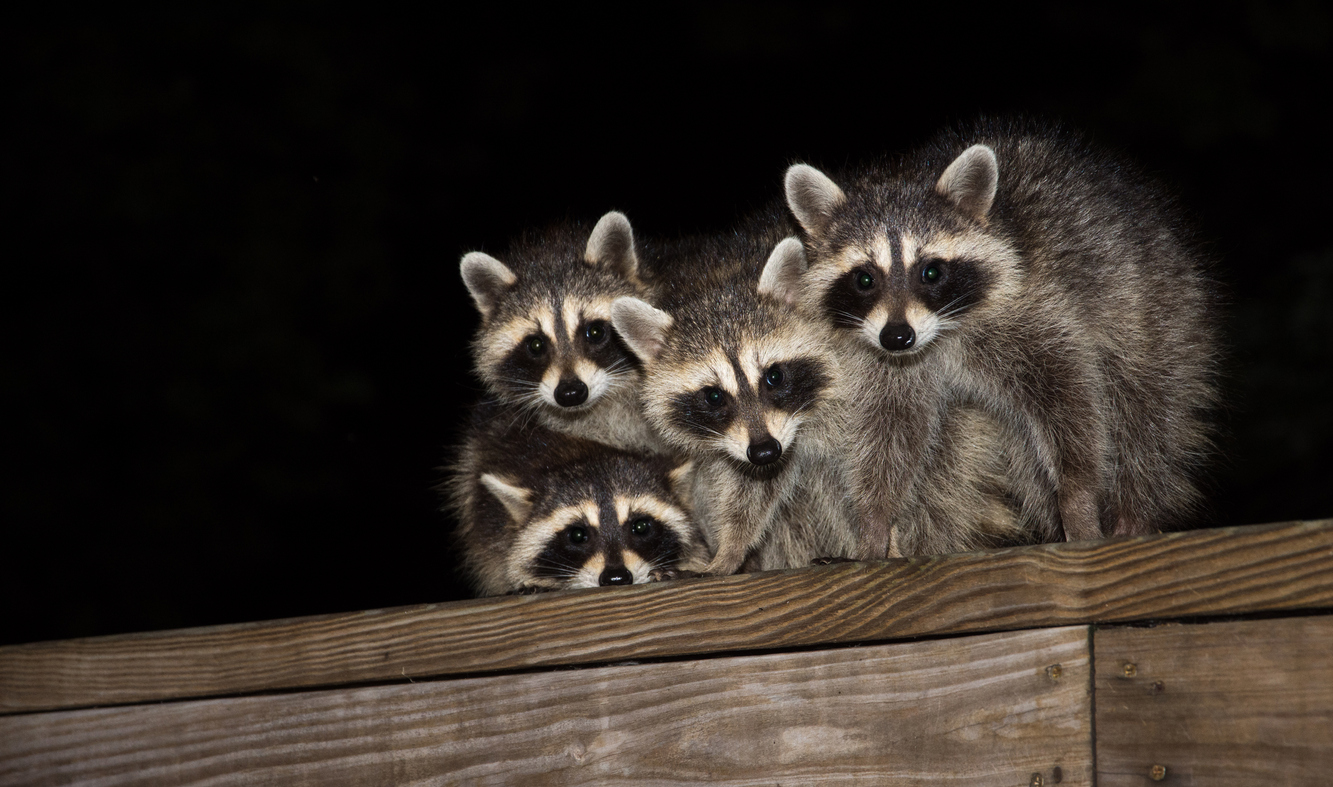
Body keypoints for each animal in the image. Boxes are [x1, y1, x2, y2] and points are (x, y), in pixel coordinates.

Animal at [611, 206, 860, 576]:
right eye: (714, 396)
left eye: (774, 376)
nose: (765, 451)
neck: (717, 281)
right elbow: (751, 487)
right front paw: (729, 552)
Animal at [776, 118, 1218, 556]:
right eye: (865, 279)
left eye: (931, 272)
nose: (898, 337)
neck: (940, 335)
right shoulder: (889, 361)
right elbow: (893, 429)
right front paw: (875, 521)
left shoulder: (1032, 310)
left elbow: (1069, 398)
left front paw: (1077, 492)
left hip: (1155, 308)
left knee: (1142, 410)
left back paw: (1132, 508)